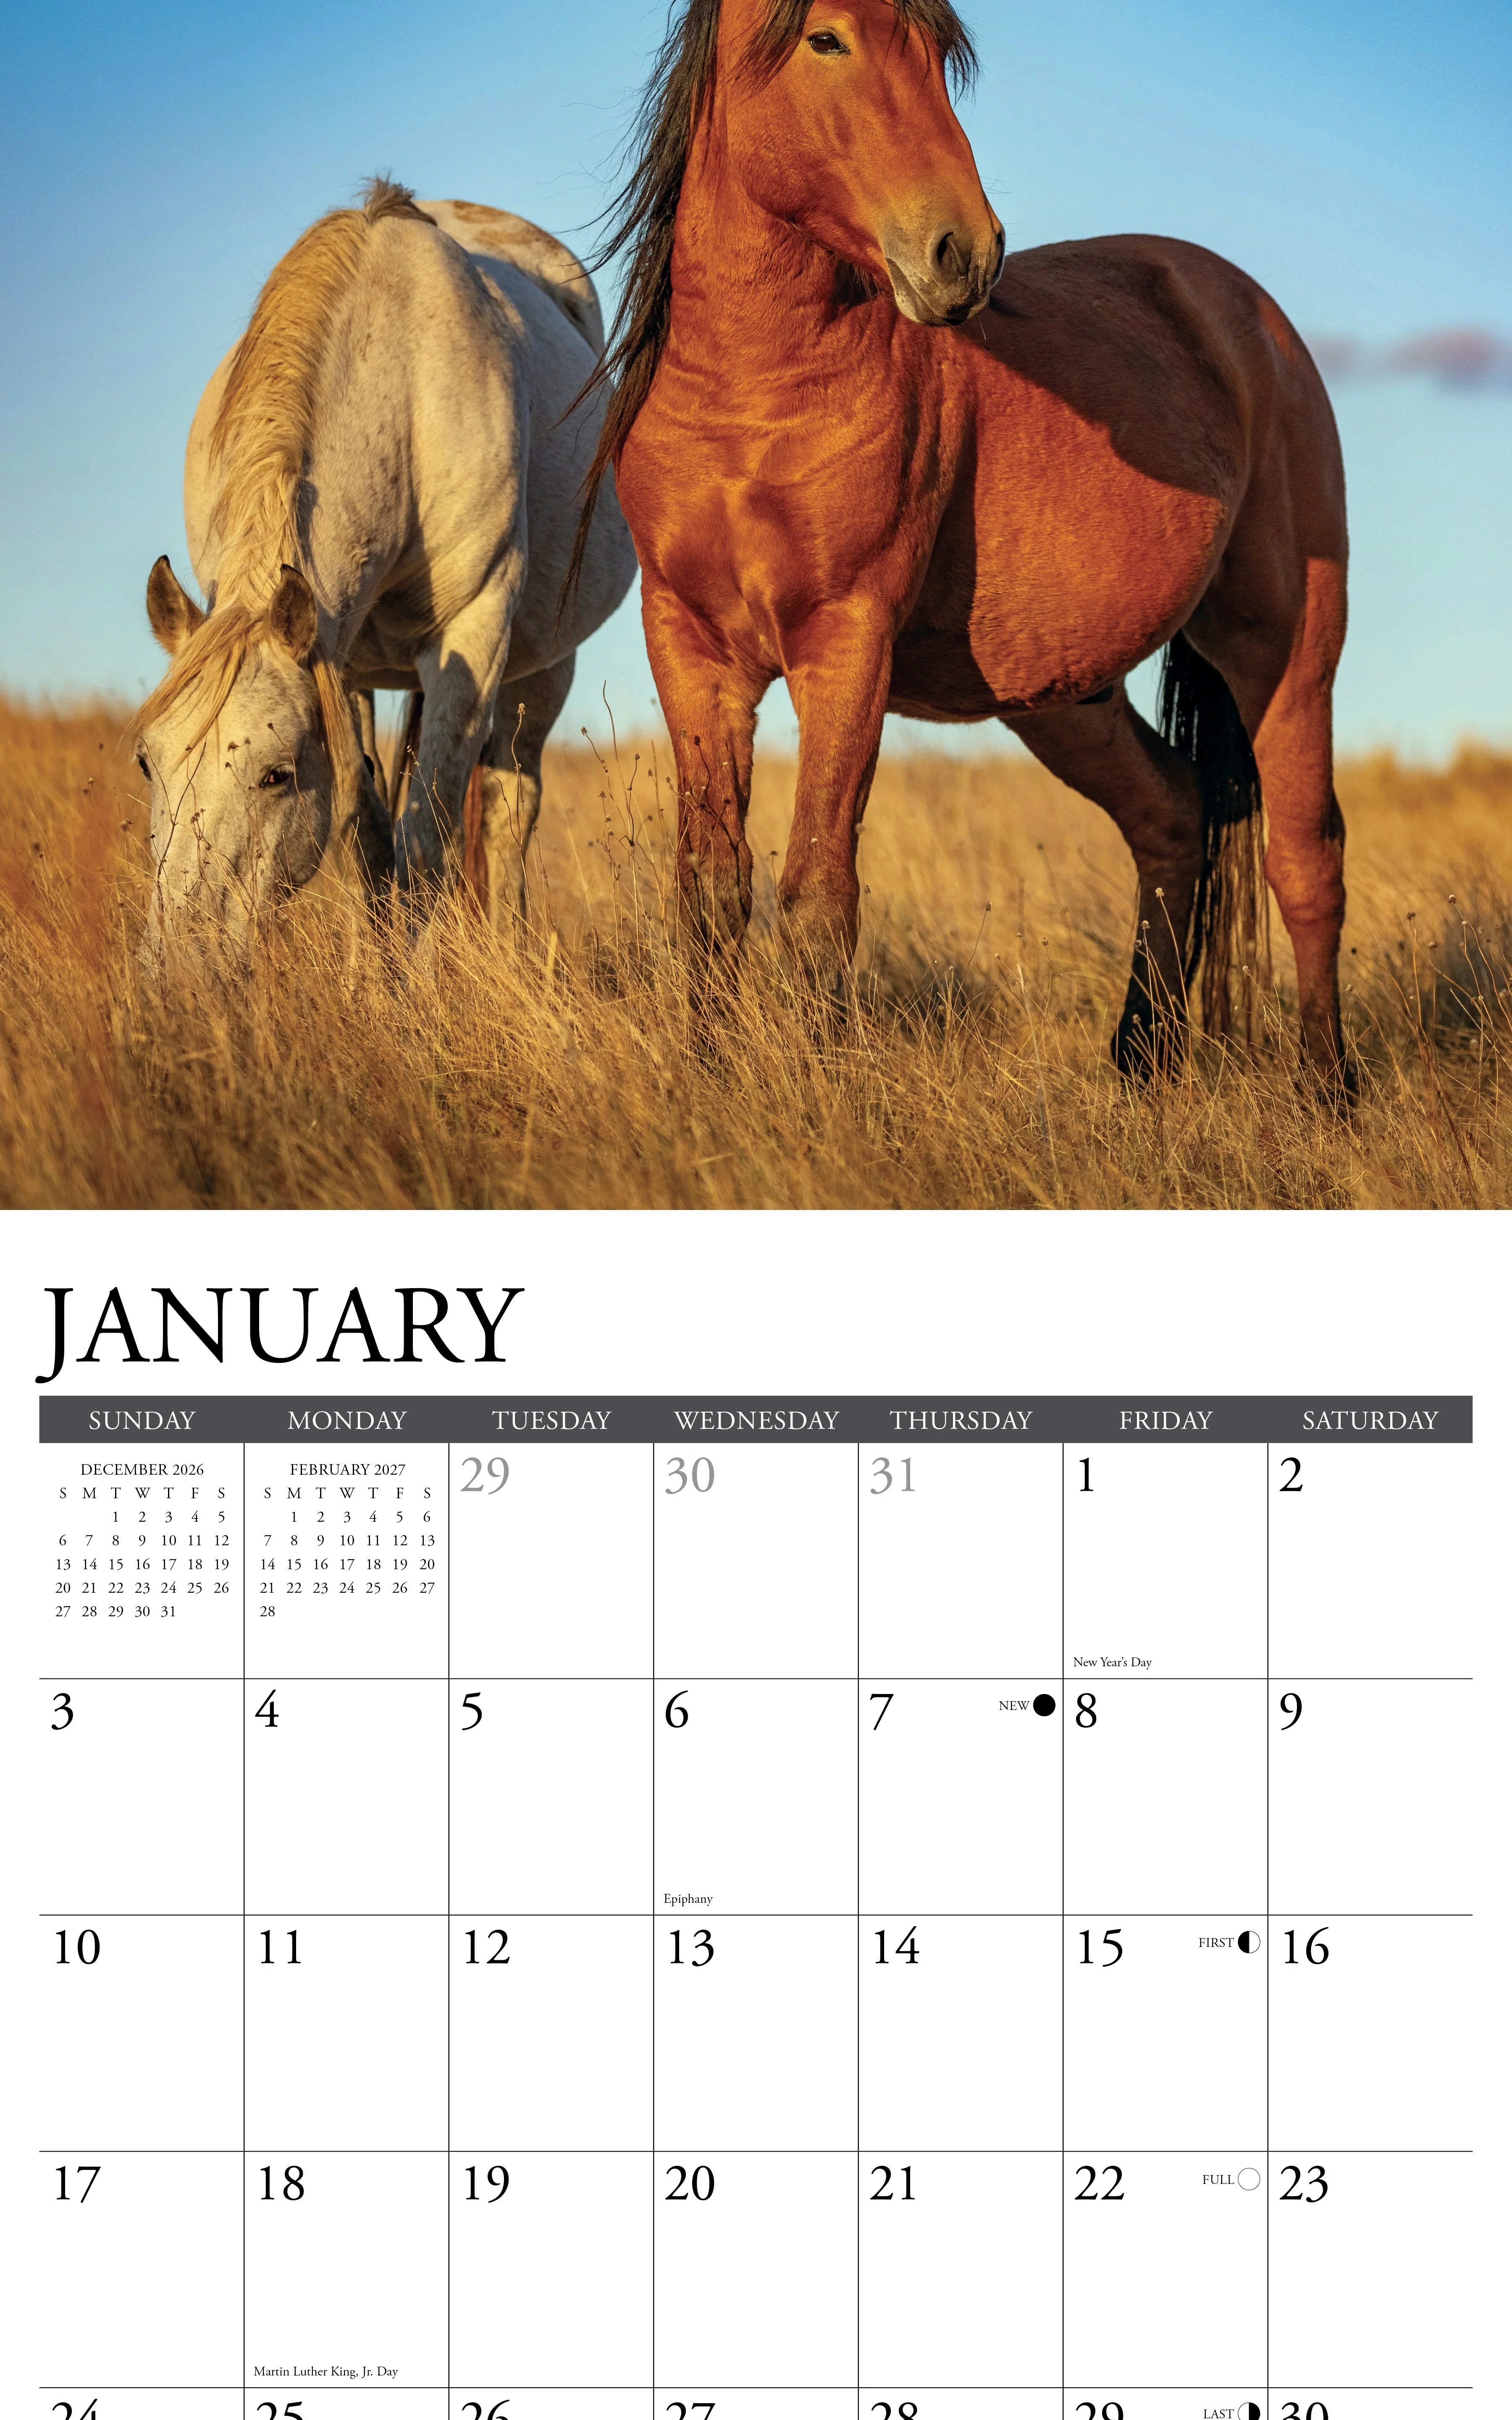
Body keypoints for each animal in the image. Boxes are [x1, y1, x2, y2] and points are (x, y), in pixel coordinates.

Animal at [131, 179, 636, 954]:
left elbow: (427, 841)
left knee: (508, 809)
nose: (181, 963)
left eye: (275, 776)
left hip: (542, 671)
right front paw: (378, 972)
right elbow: (363, 837)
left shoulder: (472, 638)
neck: (402, 399)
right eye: (147, 762)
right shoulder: (337, 663)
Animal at [577, 0, 1351, 1082]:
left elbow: (818, 893)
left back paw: (1324, 1085)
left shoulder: (848, 643)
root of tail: (1254, 319)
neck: (752, 402)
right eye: (825, 39)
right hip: (1062, 695)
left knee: (1305, 856)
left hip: (1284, 647)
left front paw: (815, 1082)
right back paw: (1138, 1060)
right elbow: (711, 888)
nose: (966, 254)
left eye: (942, 55)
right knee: (1171, 813)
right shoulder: (691, 647)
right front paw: (709, 1074)